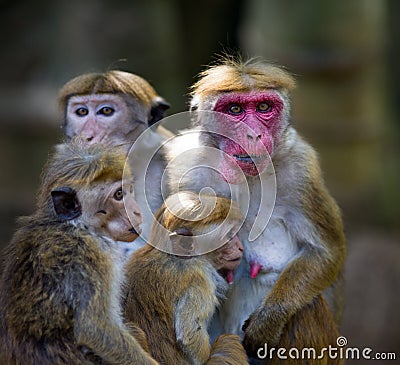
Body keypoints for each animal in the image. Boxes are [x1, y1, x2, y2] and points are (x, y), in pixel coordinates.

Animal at [0, 140, 159, 364]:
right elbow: (96, 329)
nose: (136, 211)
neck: (77, 226)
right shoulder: (90, 257)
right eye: (119, 195)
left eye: (128, 191)